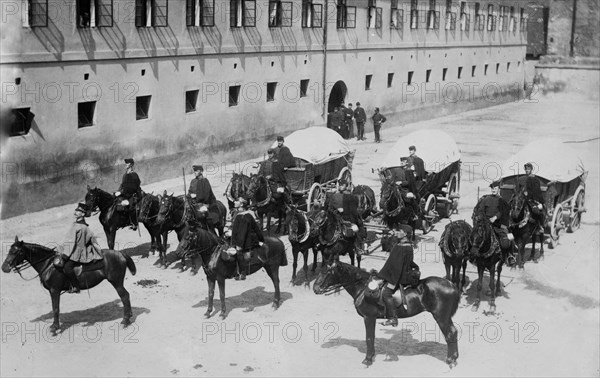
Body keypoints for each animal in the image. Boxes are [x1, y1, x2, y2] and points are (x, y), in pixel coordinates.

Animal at [0, 238, 136, 336]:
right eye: (9, 250)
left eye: (16, 252)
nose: (4, 268)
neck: (49, 265)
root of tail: (120, 253)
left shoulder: (54, 290)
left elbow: (55, 308)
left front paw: (54, 328)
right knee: (126, 296)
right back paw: (128, 318)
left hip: (116, 283)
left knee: (125, 296)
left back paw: (125, 320)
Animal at [314, 262, 460, 368]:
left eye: (326, 272)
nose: (315, 288)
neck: (363, 288)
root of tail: (451, 284)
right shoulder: (371, 319)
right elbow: (371, 337)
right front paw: (371, 356)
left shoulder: (369, 318)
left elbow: (369, 338)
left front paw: (368, 360)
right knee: (453, 332)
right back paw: (453, 358)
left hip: (441, 317)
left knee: (450, 333)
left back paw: (451, 360)